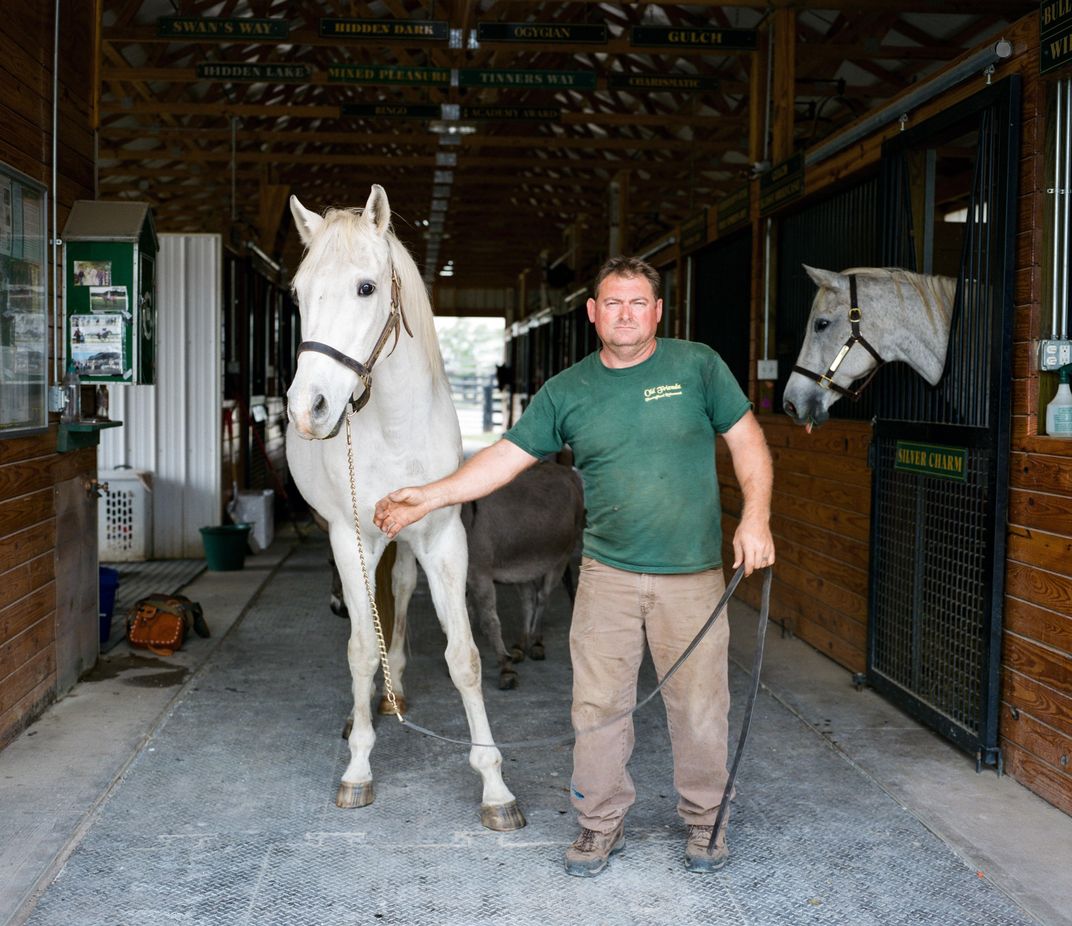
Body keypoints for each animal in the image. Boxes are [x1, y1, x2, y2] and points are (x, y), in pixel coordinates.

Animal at [283, 182, 520, 831]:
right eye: (297, 293)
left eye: (367, 287)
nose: (308, 408)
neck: (391, 426)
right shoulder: (351, 538)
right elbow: (362, 648)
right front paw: (359, 766)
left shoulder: (441, 540)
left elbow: (464, 657)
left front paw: (495, 786)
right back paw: (367, 708)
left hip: (408, 544)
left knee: (403, 590)